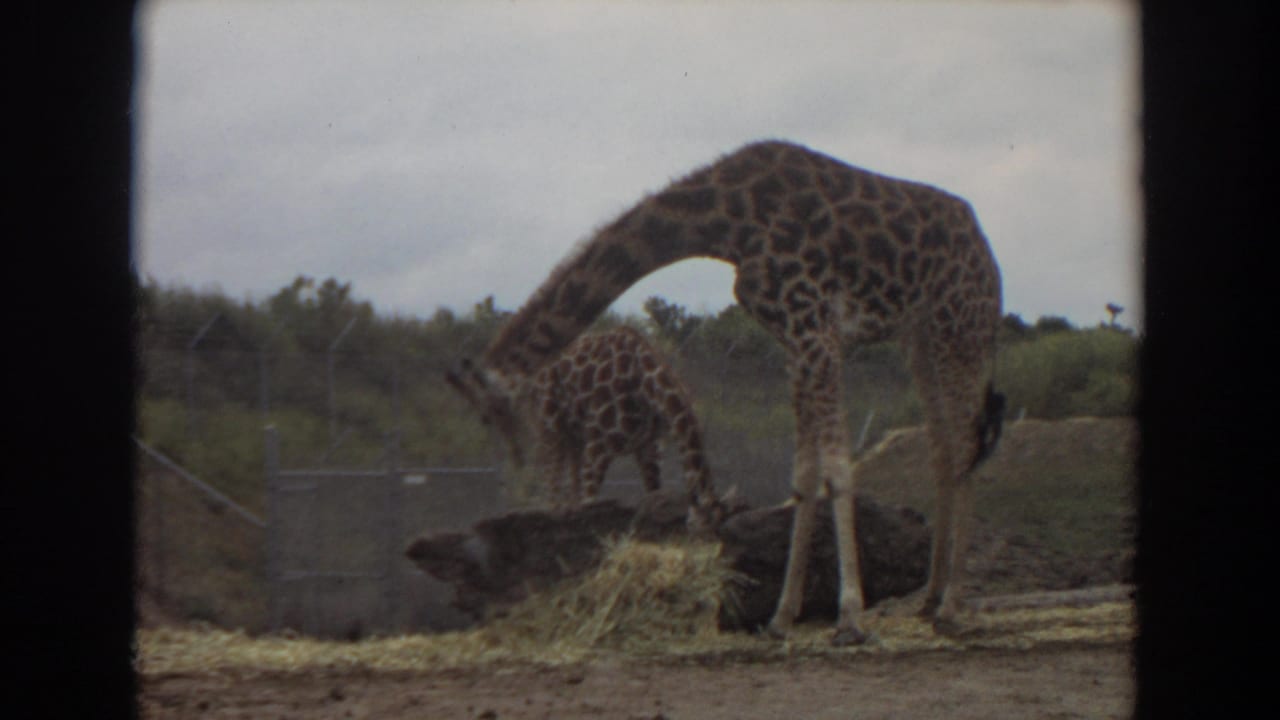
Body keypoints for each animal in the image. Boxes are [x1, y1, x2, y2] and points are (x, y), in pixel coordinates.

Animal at [447, 326, 727, 533]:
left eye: (716, 522)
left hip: (570, 435)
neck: (646, 385)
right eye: (702, 523)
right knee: (552, 483)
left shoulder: (648, 448)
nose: (697, 528)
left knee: (565, 485)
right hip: (549, 428)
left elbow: (653, 495)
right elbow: (591, 502)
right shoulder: (598, 446)